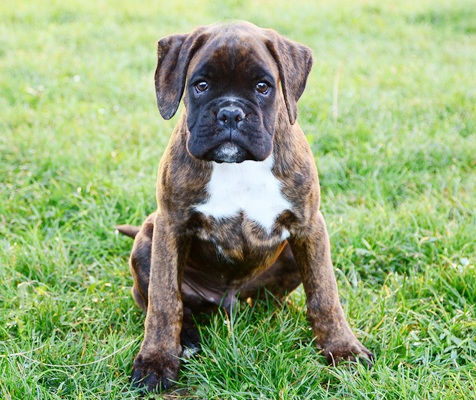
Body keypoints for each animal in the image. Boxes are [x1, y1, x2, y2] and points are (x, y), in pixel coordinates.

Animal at [116, 20, 376, 392]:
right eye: (201, 85)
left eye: (263, 87)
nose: (230, 113)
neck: (238, 166)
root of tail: (225, 302)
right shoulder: (171, 227)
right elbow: (164, 302)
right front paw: (156, 361)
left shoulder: (310, 227)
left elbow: (324, 294)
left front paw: (344, 350)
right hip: (146, 240)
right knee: (166, 302)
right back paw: (188, 339)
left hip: (290, 256)